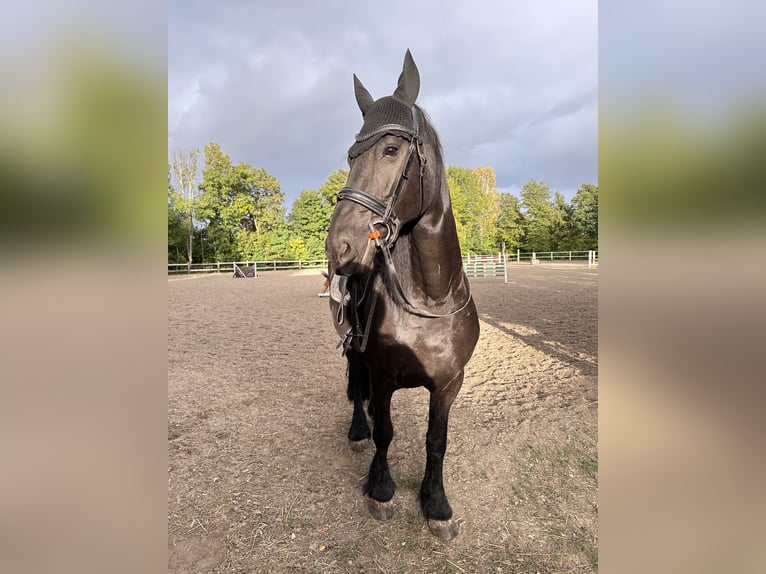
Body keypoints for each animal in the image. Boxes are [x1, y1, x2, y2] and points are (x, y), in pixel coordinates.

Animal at [328, 51, 484, 544]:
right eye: (350, 155)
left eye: (391, 150)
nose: (339, 247)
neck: (429, 301)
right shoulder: (382, 376)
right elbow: (386, 433)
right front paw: (381, 489)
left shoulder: (449, 385)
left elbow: (436, 442)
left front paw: (436, 504)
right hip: (353, 345)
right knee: (356, 383)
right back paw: (359, 426)